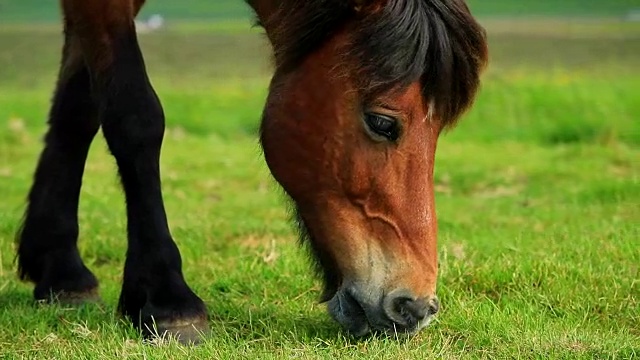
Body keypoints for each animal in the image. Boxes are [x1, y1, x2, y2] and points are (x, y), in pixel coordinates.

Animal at [15, 0, 488, 344]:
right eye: (382, 122)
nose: (416, 308)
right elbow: (134, 116)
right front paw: (167, 298)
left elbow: (78, 106)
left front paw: (61, 271)